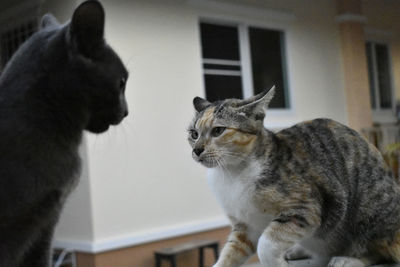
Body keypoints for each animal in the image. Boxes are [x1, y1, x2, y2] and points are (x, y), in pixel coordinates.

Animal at [188, 87, 400, 266]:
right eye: (193, 133)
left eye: (218, 130)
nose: (197, 150)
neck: (232, 172)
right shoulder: (245, 226)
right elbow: (231, 251)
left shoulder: (306, 208)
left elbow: (265, 244)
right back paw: (299, 250)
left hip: (368, 213)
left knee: (380, 249)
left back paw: (348, 259)